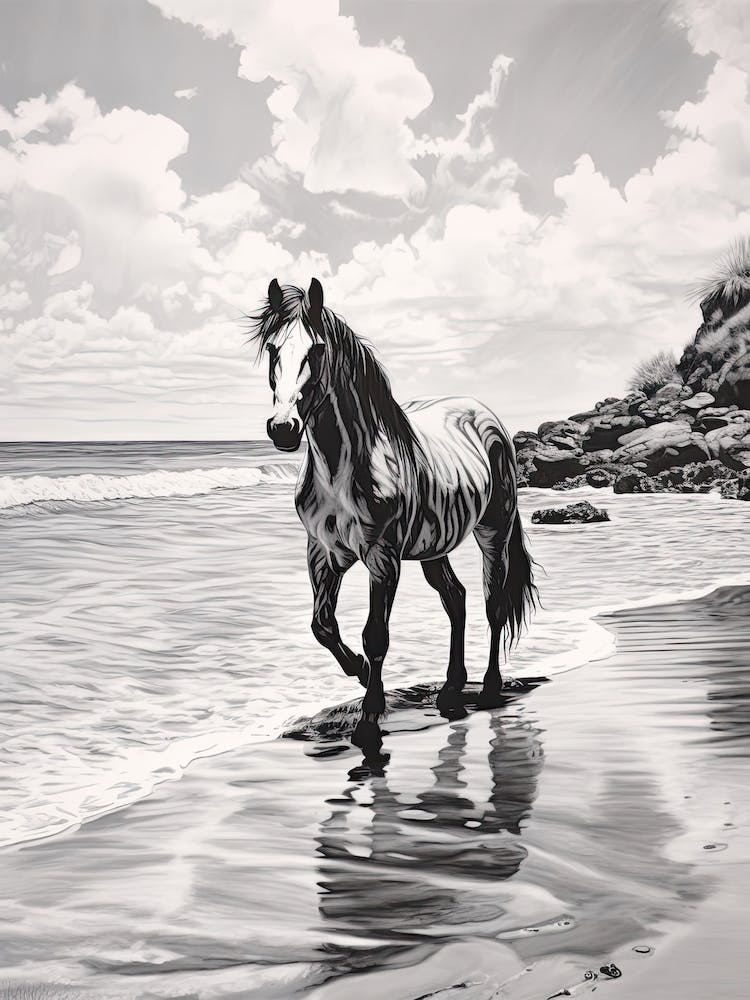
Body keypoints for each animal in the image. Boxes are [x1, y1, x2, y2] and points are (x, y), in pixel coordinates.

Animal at [252, 277, 537, 754]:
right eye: (273, 349)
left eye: (317, 349)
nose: (283, 428)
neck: (341, 472)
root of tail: (482, 412)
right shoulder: (322, 553)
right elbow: (322, 626)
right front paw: (363, 674)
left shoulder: (381, 558)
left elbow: (376, 635)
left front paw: (369, 721)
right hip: (434, 545)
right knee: (455, 598)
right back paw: (451, 690)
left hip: (492, 531)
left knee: (493, 604)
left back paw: (491, 688)